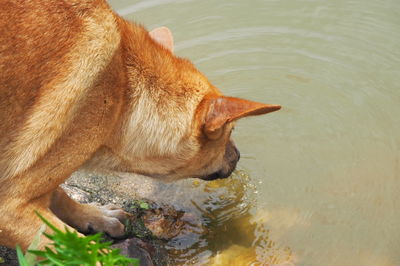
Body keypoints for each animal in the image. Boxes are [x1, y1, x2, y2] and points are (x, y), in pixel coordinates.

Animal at [0, 0, 282, 249]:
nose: (238, 156)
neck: (122, 91)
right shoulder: (9, 209)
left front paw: (94, 217)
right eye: (229, 131)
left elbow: (56, 194)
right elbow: (85, 251)